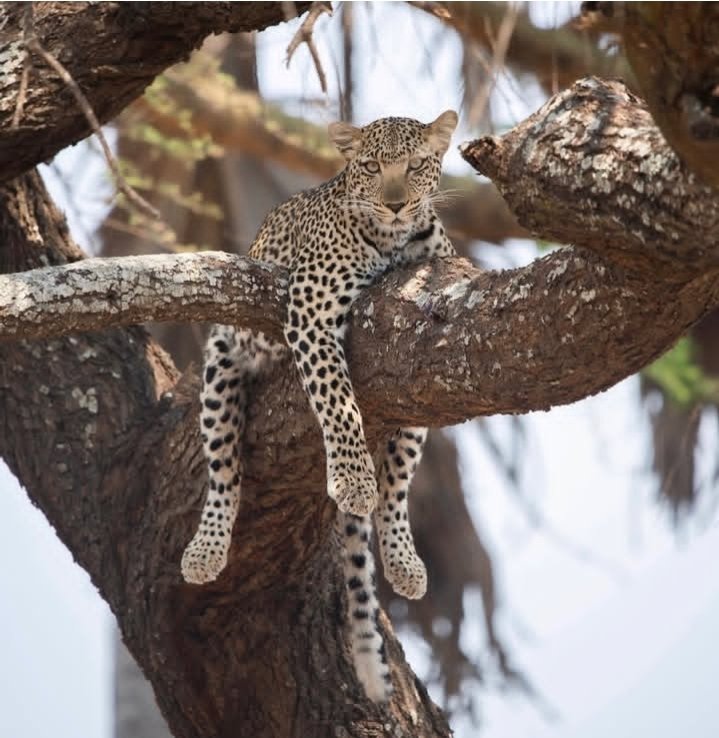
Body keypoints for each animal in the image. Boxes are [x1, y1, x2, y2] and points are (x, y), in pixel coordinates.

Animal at [183, 110, 458, 700]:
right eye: (372, 167)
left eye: (416, 166)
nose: (396, 204)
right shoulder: (310, 312)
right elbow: (338, 402)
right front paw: (352, 479)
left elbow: (396, 483)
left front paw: (396, 546)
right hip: (220, 361)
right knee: (223, 471)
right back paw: (205, 550)